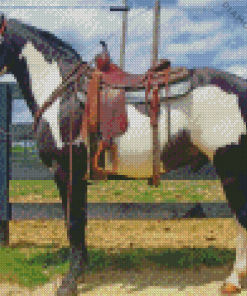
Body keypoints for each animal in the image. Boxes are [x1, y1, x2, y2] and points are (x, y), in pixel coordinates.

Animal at [0, 14, 247, 294]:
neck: (62, 94)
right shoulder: (78, 177)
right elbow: (80, 224)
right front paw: (81, 272)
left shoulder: (66, 173)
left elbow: (73, 225)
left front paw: (69, 282)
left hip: (230, 167)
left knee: (241, 218)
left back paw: (233, 280)